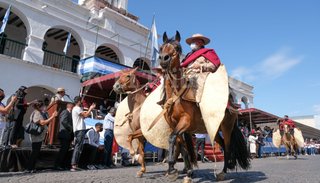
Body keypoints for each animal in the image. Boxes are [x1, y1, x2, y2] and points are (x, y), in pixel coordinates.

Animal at [158, 31, 250, 182]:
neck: (176, 95)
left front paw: (172, 168)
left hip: (226, 127)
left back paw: (223, 172)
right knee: (222, 144)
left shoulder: (185, 121)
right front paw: (184, 171)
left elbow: (172, 139)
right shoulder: (173, 124)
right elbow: (180, 145)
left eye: (177, 48)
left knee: (228, 147)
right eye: (161, 47)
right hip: (213, 130)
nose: (164, 59)